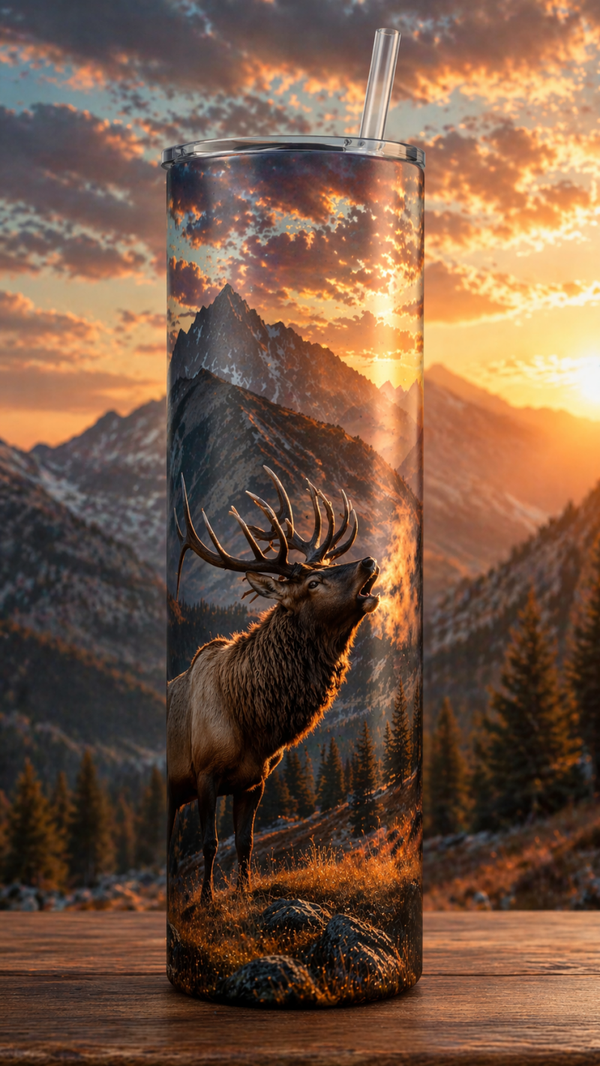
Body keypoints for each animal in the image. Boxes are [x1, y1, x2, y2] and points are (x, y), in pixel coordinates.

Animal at [167, 465, 380, 903]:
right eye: (312, 584)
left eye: (327, 566)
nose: (368, 561)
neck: (255, 723)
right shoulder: (204, 773)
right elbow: (210, 843)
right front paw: (205, 900)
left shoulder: (255, 781)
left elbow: (245, 843)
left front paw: (244, 891)